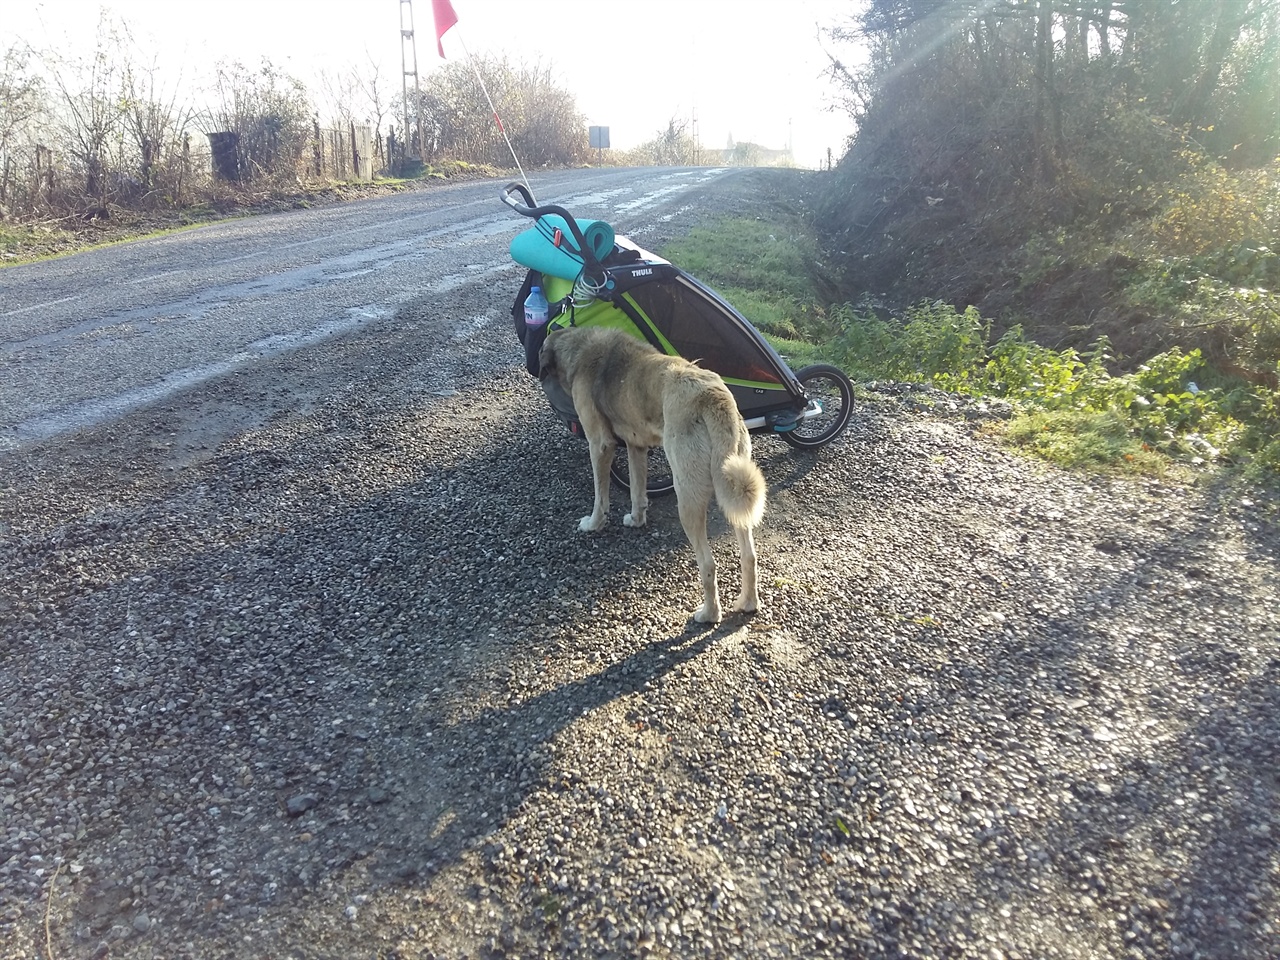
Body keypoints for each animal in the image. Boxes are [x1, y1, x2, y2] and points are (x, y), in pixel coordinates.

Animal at [537, 323, 762, 624]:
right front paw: (636, 519)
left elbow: (600, 495)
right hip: (735, 499)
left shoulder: (600, 444)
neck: (580, 347)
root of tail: (713, 397)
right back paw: (748, 603)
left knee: (708, 564)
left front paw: (594, 524)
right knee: (749, 556)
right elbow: (637, 490)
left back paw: (709, 614)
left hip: (687, 499)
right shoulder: (636, 447)